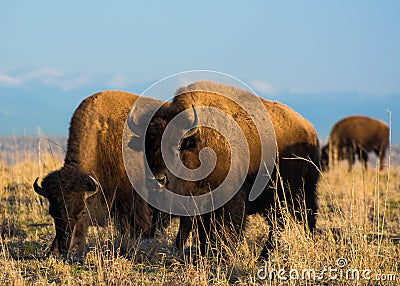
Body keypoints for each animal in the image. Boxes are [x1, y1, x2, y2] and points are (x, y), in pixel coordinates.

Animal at [130, 81, 320, 260]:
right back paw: (263, 257)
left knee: (305, 218)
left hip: (301, 193)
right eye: (146, 147)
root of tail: (309, 129)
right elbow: (202, 233)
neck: (197, 146)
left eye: (177, 147)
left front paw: (224, 256)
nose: (158, 180)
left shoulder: (228, 201)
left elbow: (227, 230)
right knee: (278, 225)